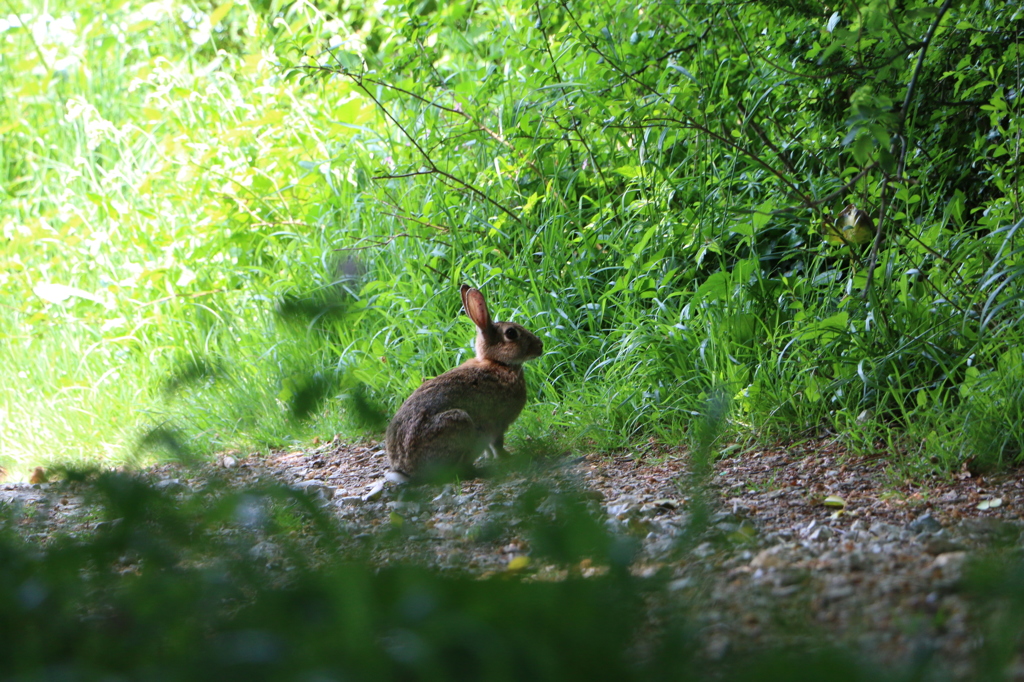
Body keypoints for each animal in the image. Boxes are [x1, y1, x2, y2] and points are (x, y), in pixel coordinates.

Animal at [385, 280, 544, 477]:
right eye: (511, 333)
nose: (540, 345)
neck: (498, 363)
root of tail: (405, 467)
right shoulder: (497, 423)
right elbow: (497, 444)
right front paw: (507, 458)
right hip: (458, 423)